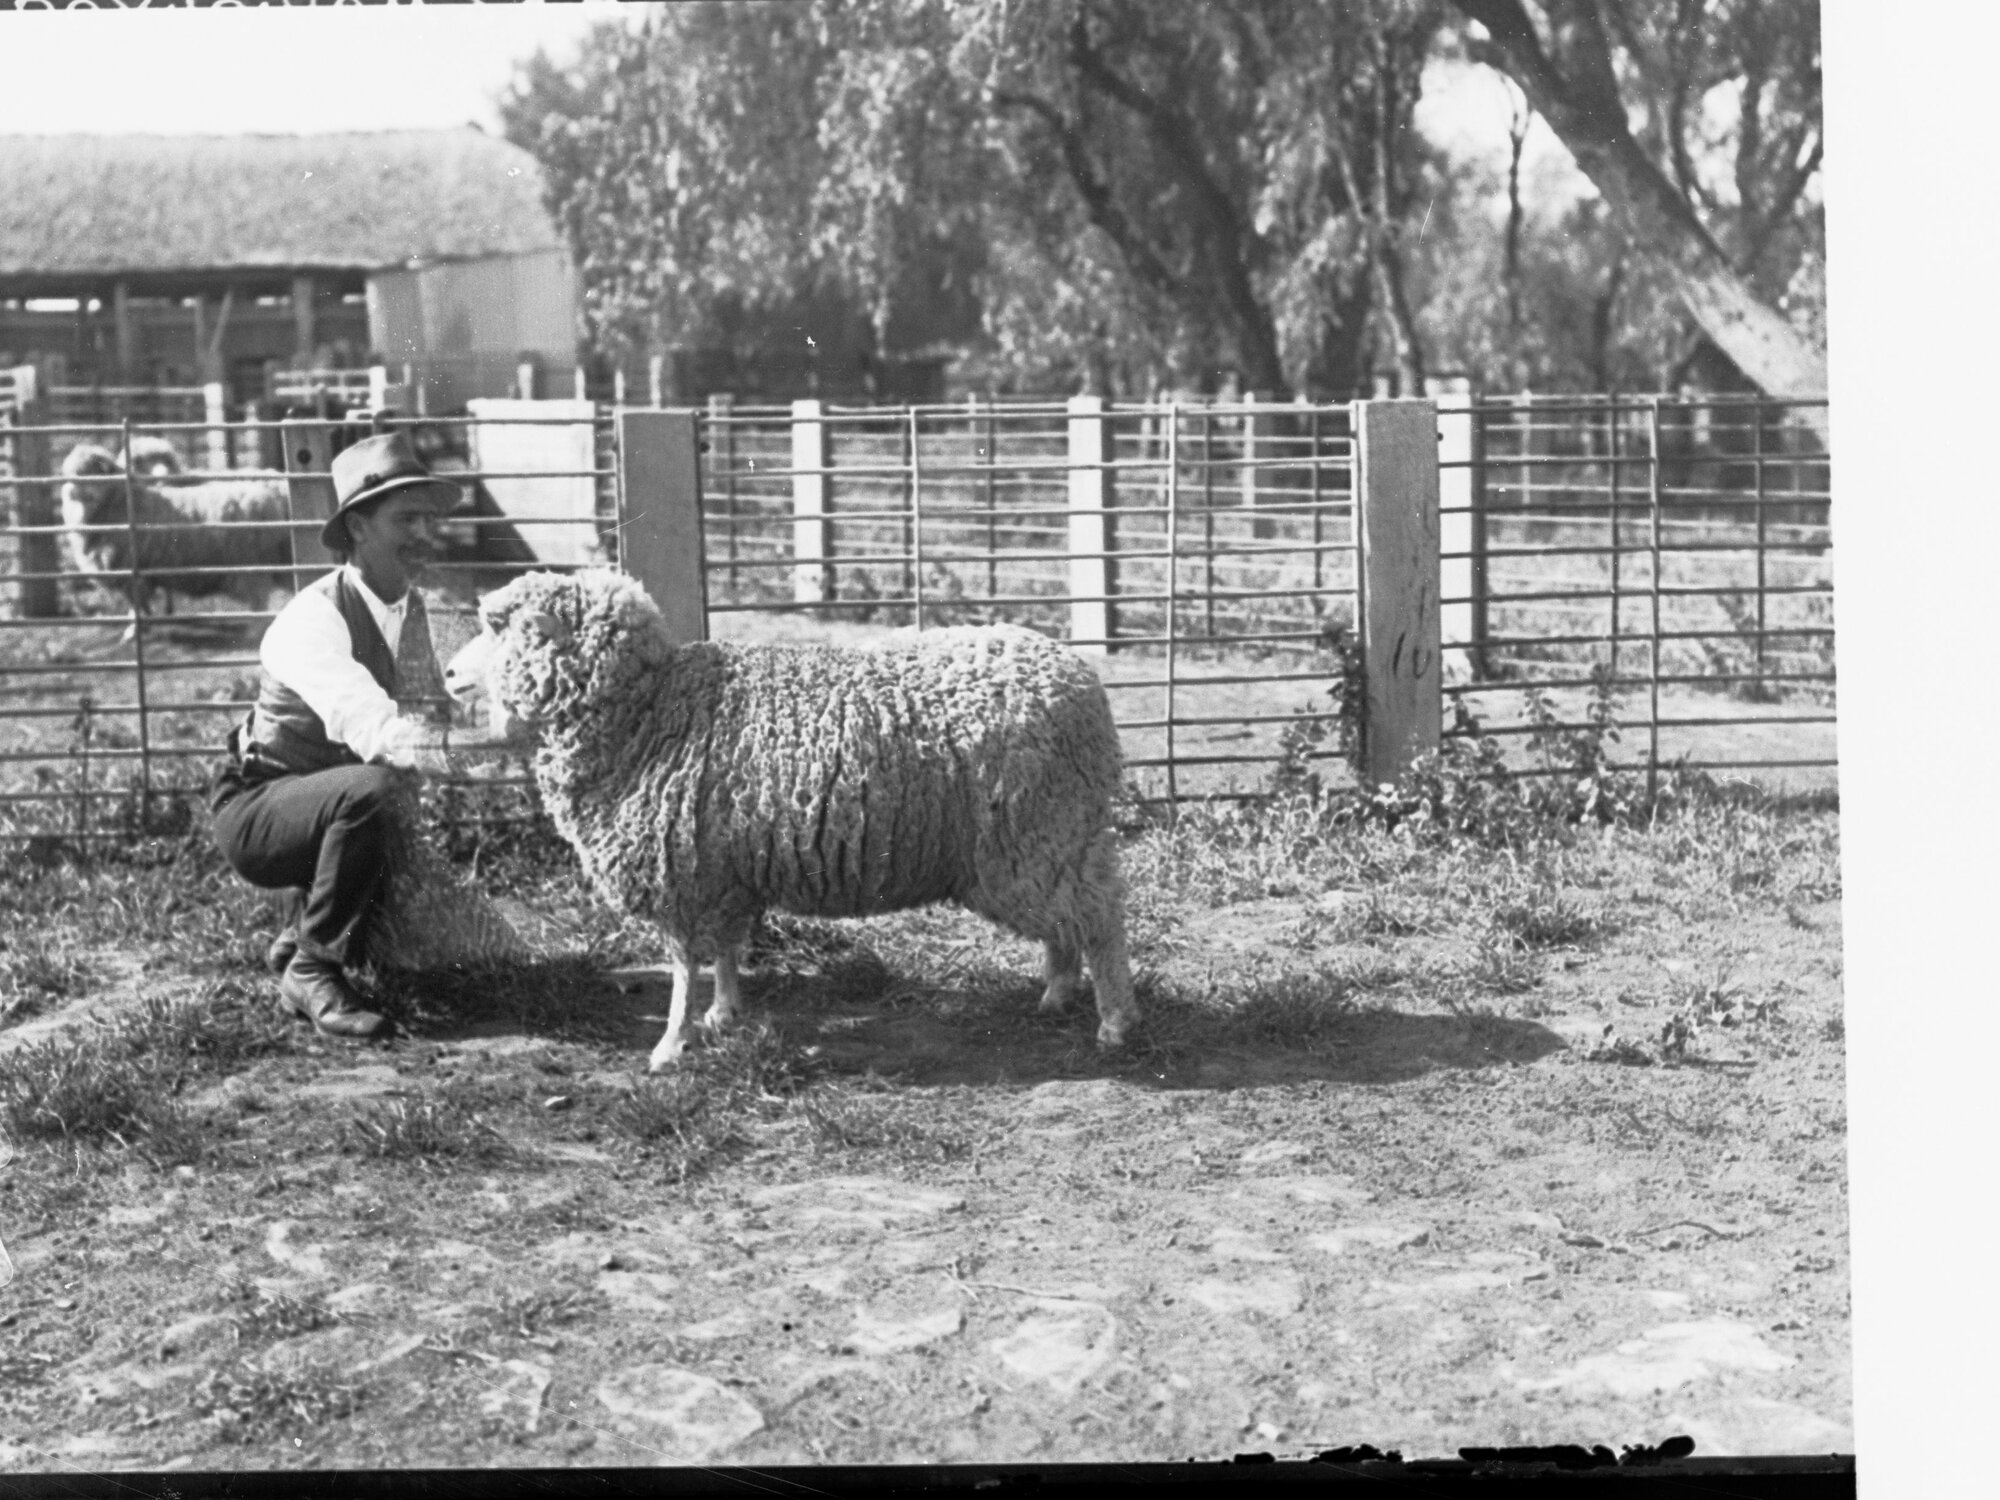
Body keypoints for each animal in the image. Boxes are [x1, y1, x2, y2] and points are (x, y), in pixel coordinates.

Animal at [59, 441, 295, 616]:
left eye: (93, 472)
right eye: (68, 473)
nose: (70, 491)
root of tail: (280, 487)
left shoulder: (133, 575)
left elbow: (138, 607)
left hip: (253, 567)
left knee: (260, 605)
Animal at [445, 568, 1139, 1071]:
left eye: (498, 626)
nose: (448, 673)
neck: (649, 711)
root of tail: (1079, 681)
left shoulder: (681, 874)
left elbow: (682, 968)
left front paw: (672, 1045)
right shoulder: (721, 871)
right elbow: (725, 951)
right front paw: (724, 1015)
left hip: (1040, 834)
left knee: (1101, 921)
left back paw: (1114, 1021)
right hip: (1044, 841)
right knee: (1068, 923)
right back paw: (1057, 993)